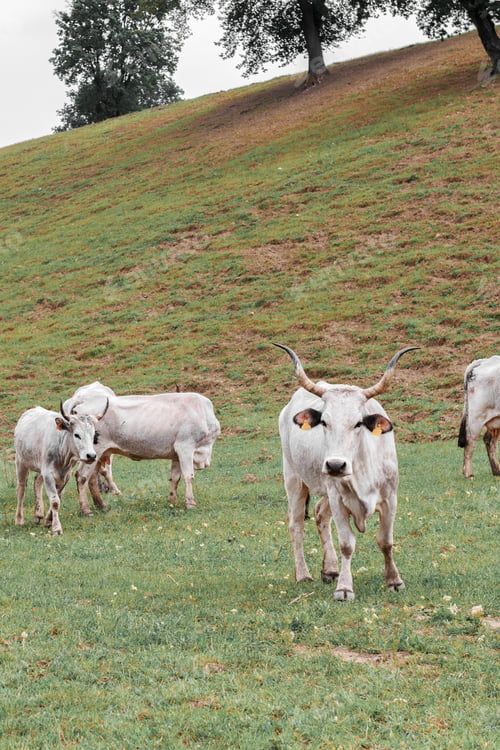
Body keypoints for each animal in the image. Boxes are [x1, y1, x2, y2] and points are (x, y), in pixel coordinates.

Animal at [14, 400, 108, 535]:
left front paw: (49, 521)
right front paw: (56, 528)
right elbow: (55, 501)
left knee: (37, 481)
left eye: (93, 435)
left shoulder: (65, 475)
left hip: (40, 467)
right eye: (77, 435)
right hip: (21, 462)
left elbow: (58, 497)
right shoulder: (48, 474)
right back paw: (19, 519)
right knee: (21, 489)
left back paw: (38, 514)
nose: (91, 455)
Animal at [64, 384, 221, 515]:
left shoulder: (176, 454)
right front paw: (190, 503)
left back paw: (101, 505)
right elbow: (189, 476)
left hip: (97, 455)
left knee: (92, 478)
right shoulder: (185, 447)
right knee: (82, 476)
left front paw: (172, 501)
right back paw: (86, 509)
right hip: (94, 451)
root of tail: (80, 401)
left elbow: (175, 478)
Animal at [274, 343, 418, 601]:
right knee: (296, 524)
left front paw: (394, 580)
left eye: (358, 423)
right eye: (324, 422)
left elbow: (386, 541)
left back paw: (330, 569)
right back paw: (303, 574)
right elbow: (347, 544)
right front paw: (344, 588)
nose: (335, 465)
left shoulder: (390, 498)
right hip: (294, 478)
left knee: (320, 515)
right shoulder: (338, 499)